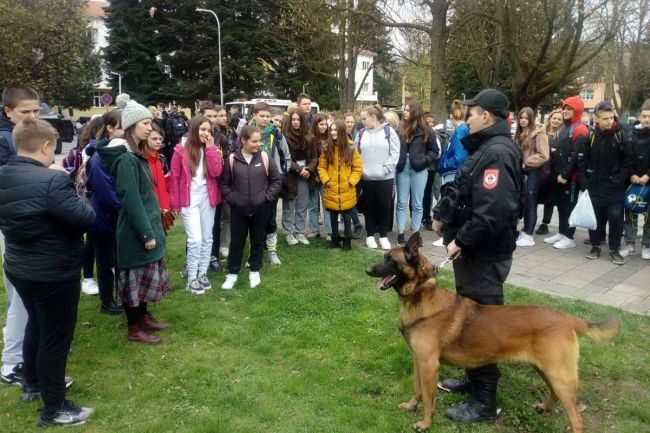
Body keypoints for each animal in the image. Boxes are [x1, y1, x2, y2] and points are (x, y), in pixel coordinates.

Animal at [364, 233, 616, 432]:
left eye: (390, 260)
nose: (367, 269)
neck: (421, 294)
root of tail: (567, 318)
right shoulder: (418, 360)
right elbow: (417, 388)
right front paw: (410, 406)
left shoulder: (429, 365)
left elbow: (428, 400)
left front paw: (425, 424)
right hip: (547, 370)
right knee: (554, 394)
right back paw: (545, 407)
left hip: (559, 375)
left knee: (577, 420)